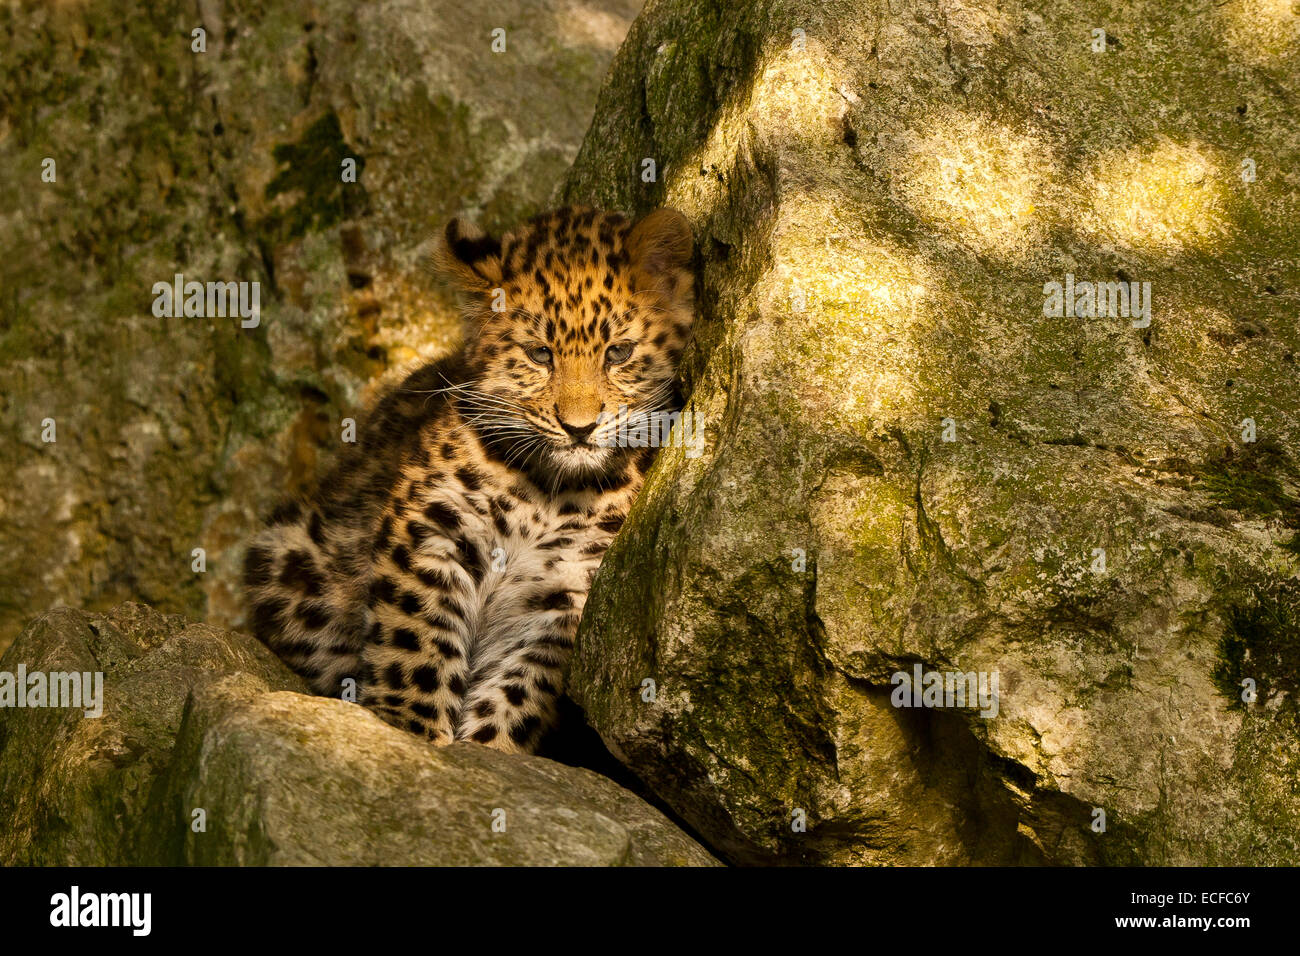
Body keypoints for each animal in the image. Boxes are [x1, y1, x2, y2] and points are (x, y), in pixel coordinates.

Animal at [242, 205, 695, 754]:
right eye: (540, 354)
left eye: (619, 353)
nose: (579, 427)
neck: (550, 490)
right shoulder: (432, 529)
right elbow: (416, 639)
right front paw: (411, 729)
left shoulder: (564, 589)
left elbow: (522, 686)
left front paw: (488, 747)